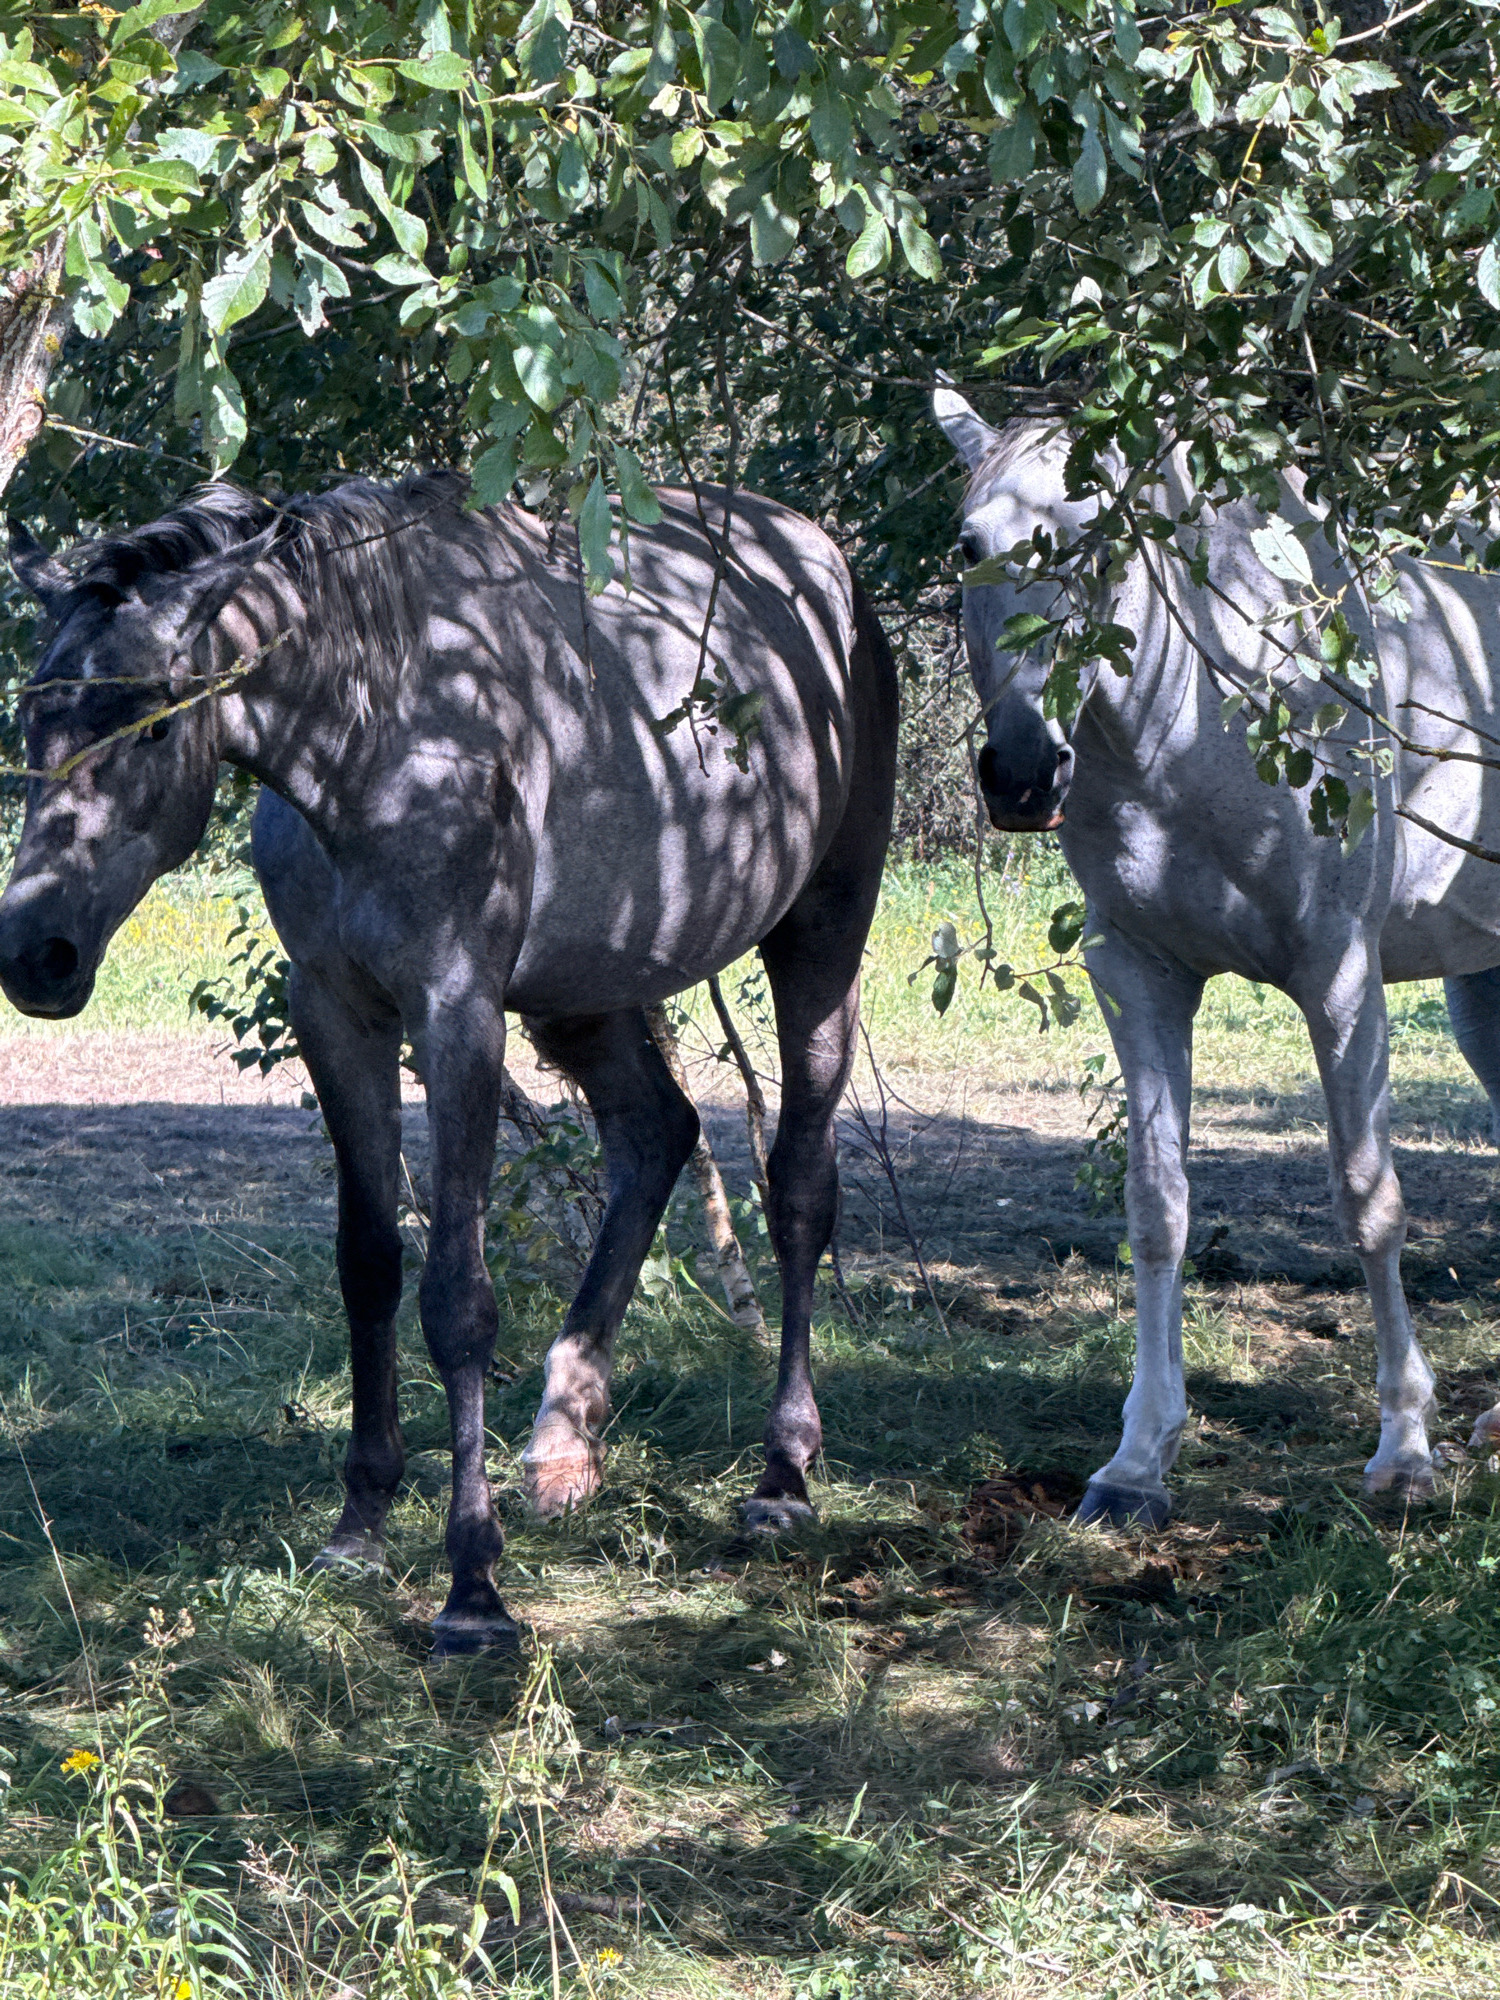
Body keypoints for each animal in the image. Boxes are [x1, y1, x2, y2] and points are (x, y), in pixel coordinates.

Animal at [0, 472, 897, 1652]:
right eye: (35, 716)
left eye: (150, 723)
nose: (34, 954)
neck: (375, 734)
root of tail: (825, 576)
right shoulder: (338, 1010)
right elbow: (370, 1262)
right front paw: (360, 1522)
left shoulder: (458, 1010)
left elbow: (458, 1296)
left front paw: (472, 1584)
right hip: (585, 993)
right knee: (656, 1135)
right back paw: (563, 1445)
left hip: (819, 933)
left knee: (797, 1185)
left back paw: (783, 1471)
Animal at [934, 388, 1500, 1528]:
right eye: (969, 546)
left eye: (1097, 543)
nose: (1020, 771)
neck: (1208, 722)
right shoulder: (1139, 979)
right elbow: (1157, 1204)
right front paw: (1137, 1461)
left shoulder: (1341, 978)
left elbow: (1369, 1200)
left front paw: (1404, 1448)